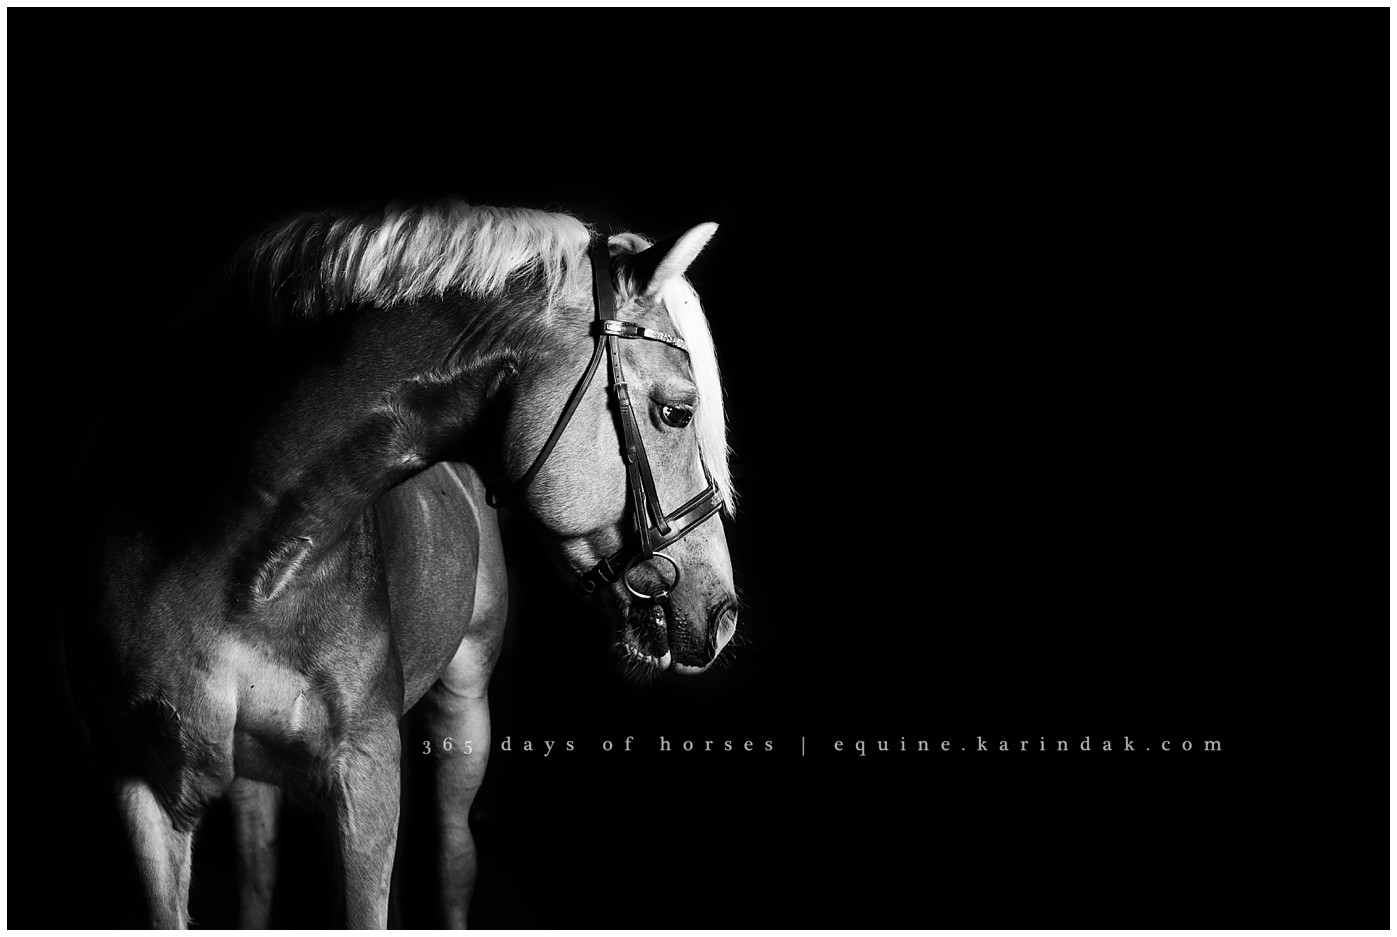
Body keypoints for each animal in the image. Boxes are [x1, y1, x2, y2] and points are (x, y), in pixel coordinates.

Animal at [62, 201, 738, 928]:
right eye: (677, 411)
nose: (724, 613)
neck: (235, 559)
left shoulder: (366, 774)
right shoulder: (141, 784)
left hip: (463, 709)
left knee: (452, 854)